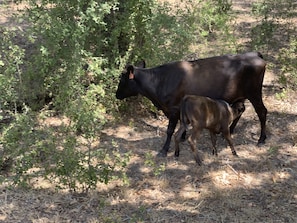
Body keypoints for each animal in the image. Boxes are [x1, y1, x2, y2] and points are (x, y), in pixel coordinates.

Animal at [115, 52, 266, 157]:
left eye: (122, 79)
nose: (116, 95)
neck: (160, 81)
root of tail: (253, 54)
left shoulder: (174, 108)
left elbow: (169, 130)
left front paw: (164, 150)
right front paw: (182, 137)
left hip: (254, 93)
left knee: (262, 112)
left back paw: (261, 139)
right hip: (241, 95)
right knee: (240, 110)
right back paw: (229, 131)